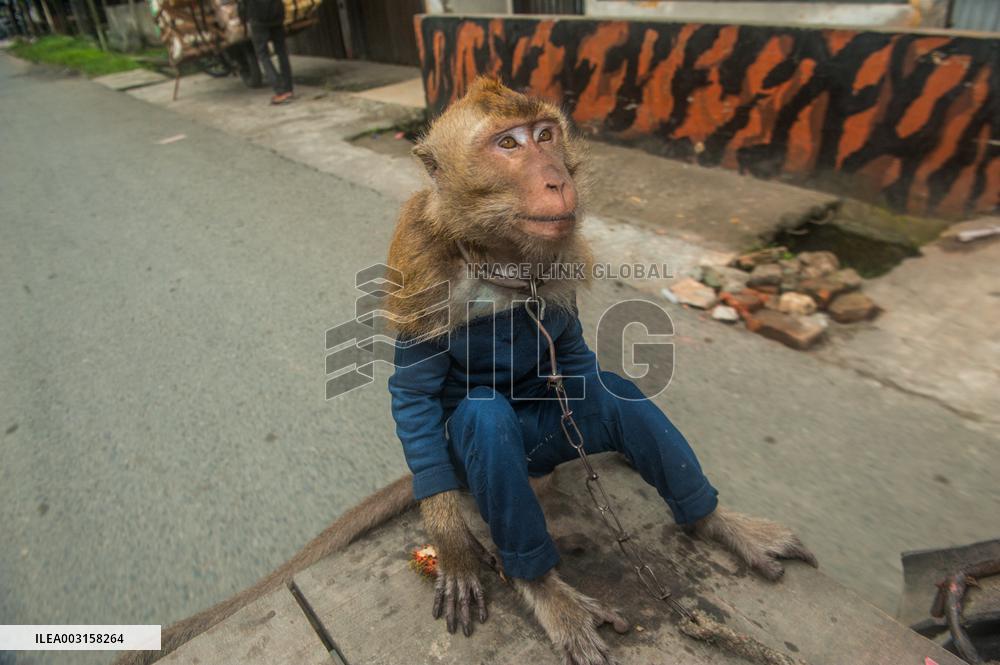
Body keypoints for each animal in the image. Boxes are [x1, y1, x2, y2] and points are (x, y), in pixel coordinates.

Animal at [383, 77, 818, 665]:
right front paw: (451, 544)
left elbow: (575, 358)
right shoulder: (419, 261)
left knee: (613, 395)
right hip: (473, 470)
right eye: (508, 144)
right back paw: (547, 592)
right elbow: (412, 394)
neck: (497, 257)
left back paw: (717, 523)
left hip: (554, 447)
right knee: (482, 419)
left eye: (544, 135)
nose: (556, 178)